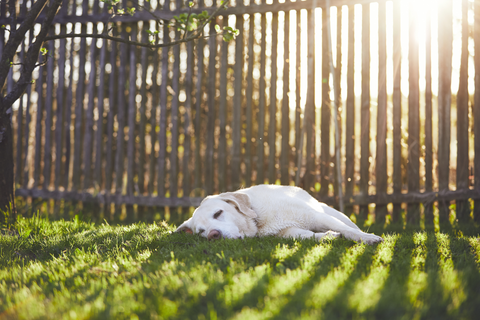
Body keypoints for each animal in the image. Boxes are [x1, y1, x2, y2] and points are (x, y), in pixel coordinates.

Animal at [175, 185, 382, 245]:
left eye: (218, 213)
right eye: (201, 232)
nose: (213, 235)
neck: (259, 220)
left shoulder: (317, 217)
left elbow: (348, 230)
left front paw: (368, 238)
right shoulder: (286, 232)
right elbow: (308, 235)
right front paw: (328, 236)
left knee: (349, 226)